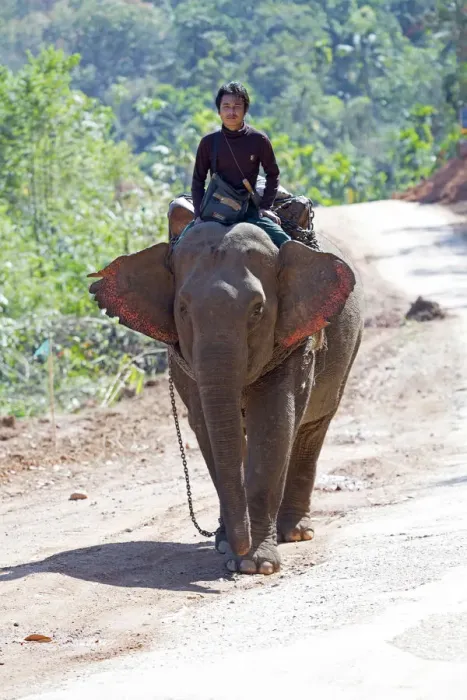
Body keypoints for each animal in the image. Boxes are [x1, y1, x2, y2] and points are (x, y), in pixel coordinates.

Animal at [89, 215, 363, 575]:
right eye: (182, 308)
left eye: (258, 310)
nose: (237, 548)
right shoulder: (185, 362)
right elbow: (206, 426)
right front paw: (230, 548)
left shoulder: (295, 344)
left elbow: (274, 422)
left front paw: (254, 564)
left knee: (311, 431)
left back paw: (295, 533)